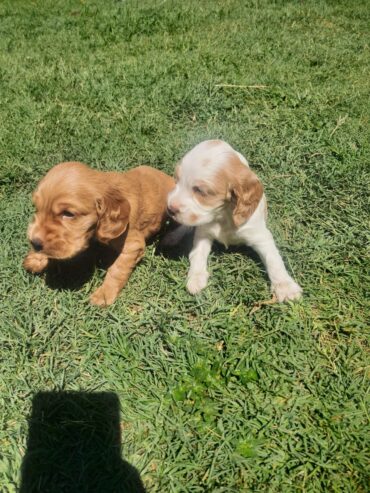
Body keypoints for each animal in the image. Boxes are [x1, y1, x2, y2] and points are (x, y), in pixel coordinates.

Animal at [23, 162, 174, 304]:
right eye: (37, 208)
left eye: (68, 213)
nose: (34, 243)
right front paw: (36, 258)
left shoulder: (133, 244)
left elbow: (117, 269)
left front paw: (104, 294)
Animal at [166, 138, 302, 300]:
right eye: (176, 180)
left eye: (200, 191)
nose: (169, 208)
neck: (223, 215)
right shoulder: (203, 232)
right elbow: (198, 253)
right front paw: (196, 278)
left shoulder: (259, 235)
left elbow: (273, 259)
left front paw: (285, 286)